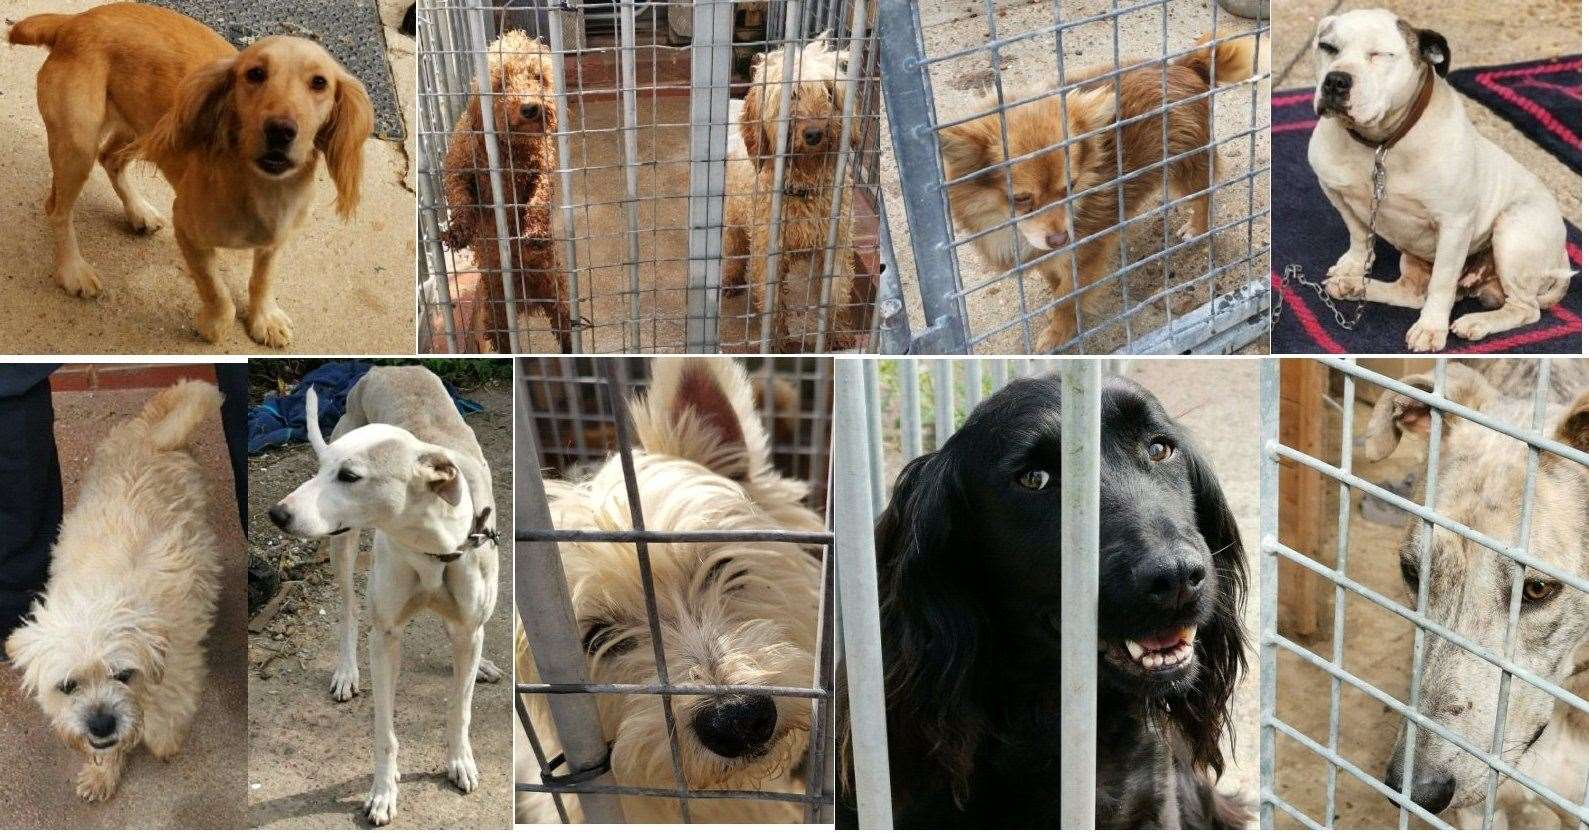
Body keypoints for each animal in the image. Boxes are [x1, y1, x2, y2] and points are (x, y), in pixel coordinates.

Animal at [5, 379, 224, 804]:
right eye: (68, 686)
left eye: (123, 675)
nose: (102, 725)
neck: (103, 594)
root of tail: (148, 431)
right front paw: (102, 771)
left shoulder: (182, 659)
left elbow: (168, 705)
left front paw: (164, 739)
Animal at [10, 4, 373, 348]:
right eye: (255, 74)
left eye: (319, 83)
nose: (280, 130)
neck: (262, 187)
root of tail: (74, 21)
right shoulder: (186, 229)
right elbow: (217, 292)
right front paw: (215, 326)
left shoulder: (276, 240)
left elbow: (262, 279)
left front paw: (264, 318)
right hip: (77, 145)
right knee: (57, 210)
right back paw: (73, 269)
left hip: (146, 130)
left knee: (110, 159)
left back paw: (138, 211)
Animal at [441, 30, 578, 351]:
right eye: (501, 82)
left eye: (538, 77)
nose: (530, 108)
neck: (510, 148)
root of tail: (526, 299)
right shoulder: (459, 169)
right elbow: (461, 200)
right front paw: (458, 231)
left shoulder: (543, 172)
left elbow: (538, 201)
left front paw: (535, 233)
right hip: (496, 314)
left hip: (556, 293)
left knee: (565, 328)